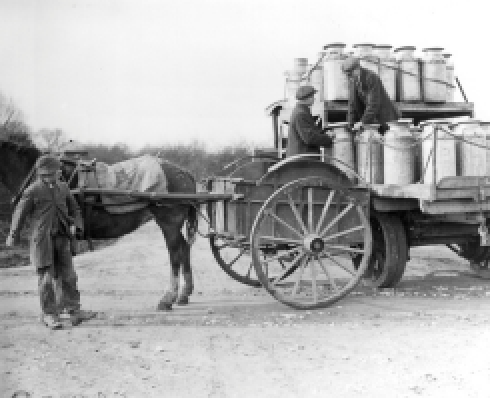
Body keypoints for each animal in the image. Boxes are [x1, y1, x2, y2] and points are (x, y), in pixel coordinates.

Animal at [0, 140, 199, 310]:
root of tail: (184, 172)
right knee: (184, 248)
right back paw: (184, 294)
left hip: (169, 223)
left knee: (175, 254)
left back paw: (168, 298)